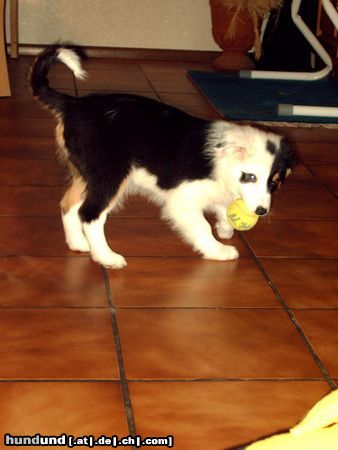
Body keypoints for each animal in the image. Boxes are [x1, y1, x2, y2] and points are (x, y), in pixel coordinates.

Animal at [29, 45, 294, 268]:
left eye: (274, 183)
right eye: (250, 177)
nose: (261, 211)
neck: (220, 161)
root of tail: (73, 104)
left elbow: (223, 210)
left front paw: (225, 227)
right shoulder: (182, 200)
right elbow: (202, 226)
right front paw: (218, 250)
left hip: (88, 175)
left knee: (68, 204)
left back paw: (78, 244)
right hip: (111, 176)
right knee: (89, 214)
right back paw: (107, 258)